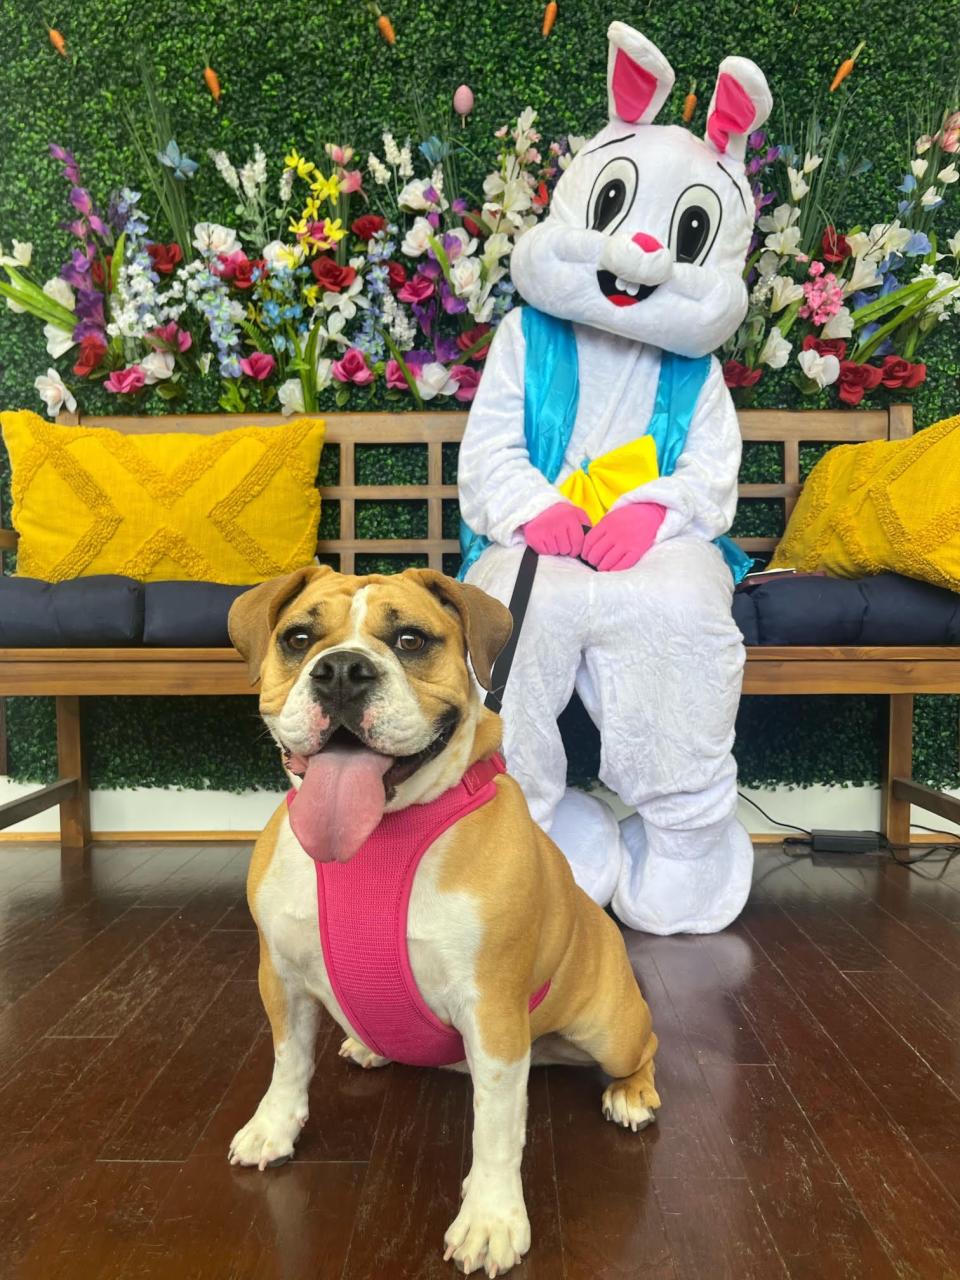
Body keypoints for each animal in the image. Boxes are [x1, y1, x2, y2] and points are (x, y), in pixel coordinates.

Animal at [227, 565, 660, 1274]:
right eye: (298, 639)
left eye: (410, 640)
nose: (341, 670)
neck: (379, 836)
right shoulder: (281, 979)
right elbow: (288, 1061)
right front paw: (273, 1126)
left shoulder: (492, 1012)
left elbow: (495, 1130)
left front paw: (490, 1218)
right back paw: (368, 1044)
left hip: (610, 1027)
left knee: (643, 1048)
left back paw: (630, 1094)